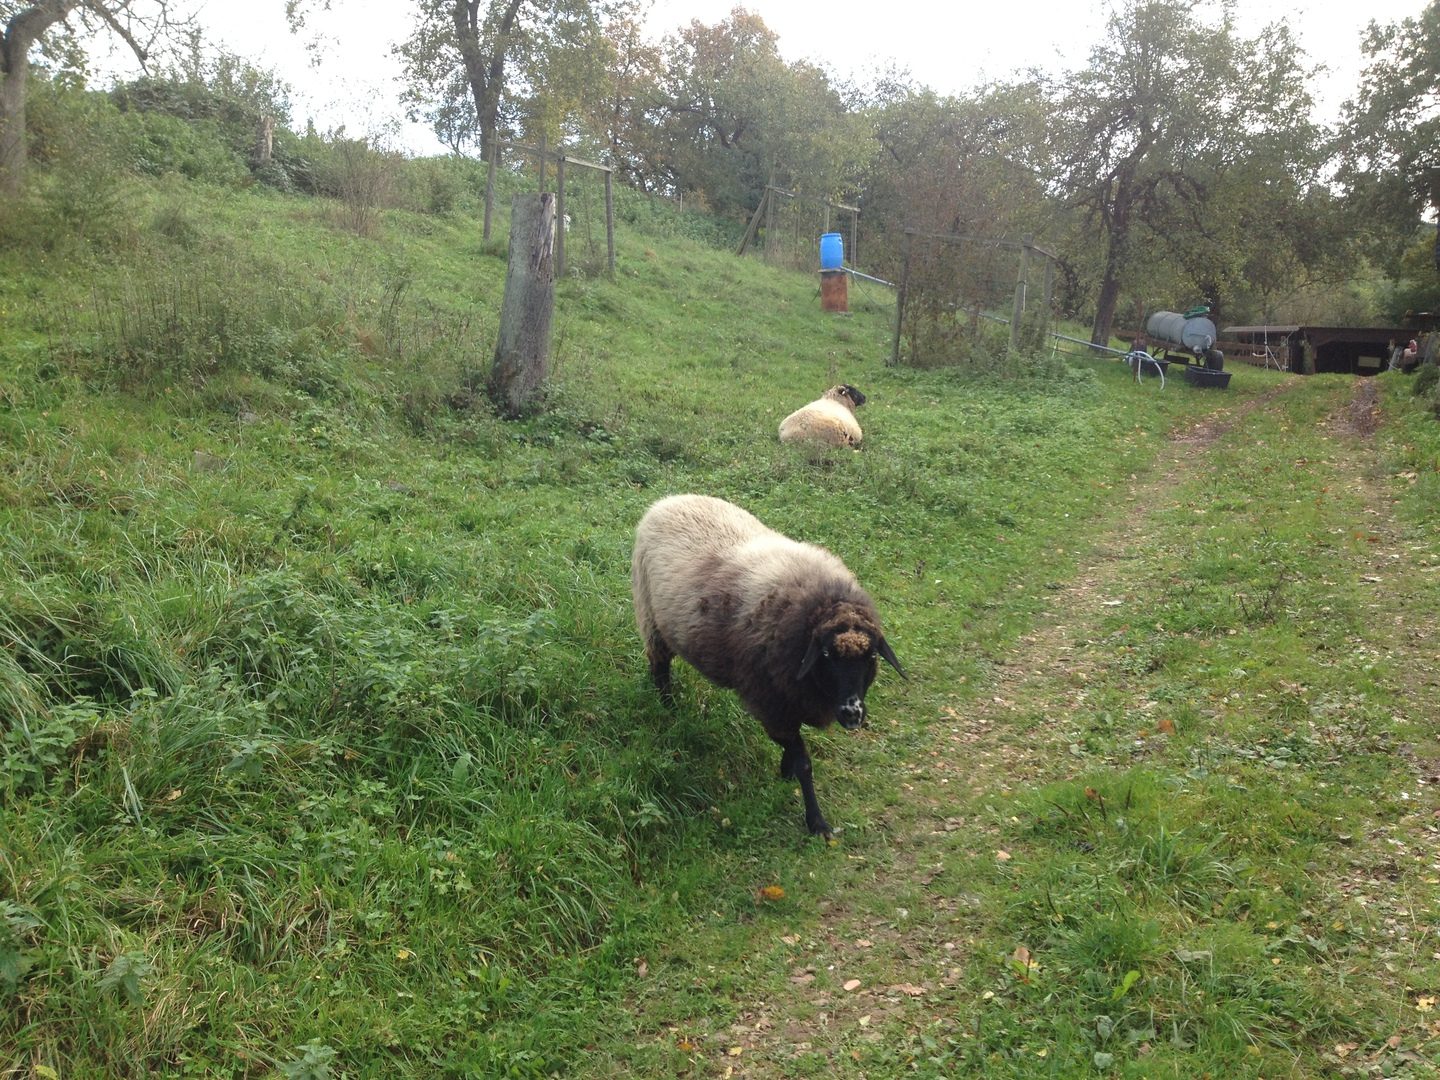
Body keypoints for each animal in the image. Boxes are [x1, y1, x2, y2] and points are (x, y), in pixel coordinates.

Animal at [631, 493, 903, 838]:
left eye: (871, 657)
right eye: (827, 655)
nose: (852, 714)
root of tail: (668, 500)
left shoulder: (791, 697)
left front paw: (786, 772)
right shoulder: (770, 702)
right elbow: (804, 762)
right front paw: (816, 821)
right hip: (651, 616)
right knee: (660, 667)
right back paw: (668, 707)